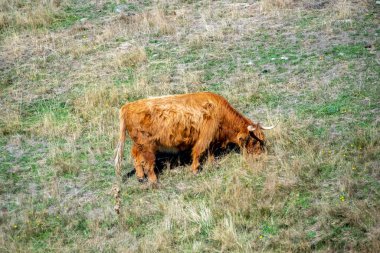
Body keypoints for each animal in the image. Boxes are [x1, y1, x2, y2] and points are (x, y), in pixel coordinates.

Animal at [114, 92, 272, 183]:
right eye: (255, 141)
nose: (260, 155)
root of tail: (127, 106)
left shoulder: (212, 138)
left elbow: (210, 151)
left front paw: (212, 163)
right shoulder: (205, 136)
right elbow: (198, 151)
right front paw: (195, 169)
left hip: (138, 143)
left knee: (135, 155)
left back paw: (140, 177)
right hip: (147, 144)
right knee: (148, 162)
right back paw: (153, 181)